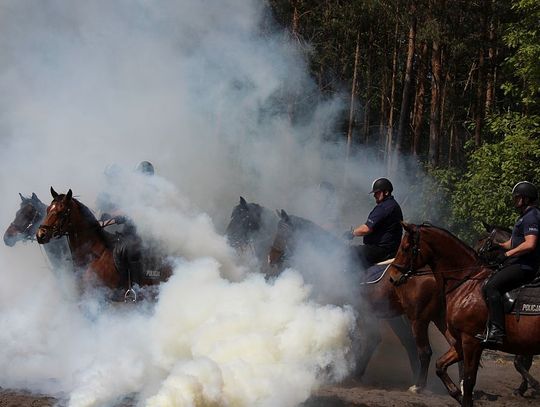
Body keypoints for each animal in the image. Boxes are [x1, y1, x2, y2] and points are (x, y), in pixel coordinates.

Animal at [268, 210, 458, 392]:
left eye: (282, 230)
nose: (271, 258)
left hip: (416, 318)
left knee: (418, 348)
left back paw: (416, 384)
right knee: (409, 342)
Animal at [392, 225, 540, 406]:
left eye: (406, 247)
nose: (392, 275)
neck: (467, 283)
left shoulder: (471, 341)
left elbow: (470, 380)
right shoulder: (461, 341)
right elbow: (440, 366)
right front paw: (457, 394)